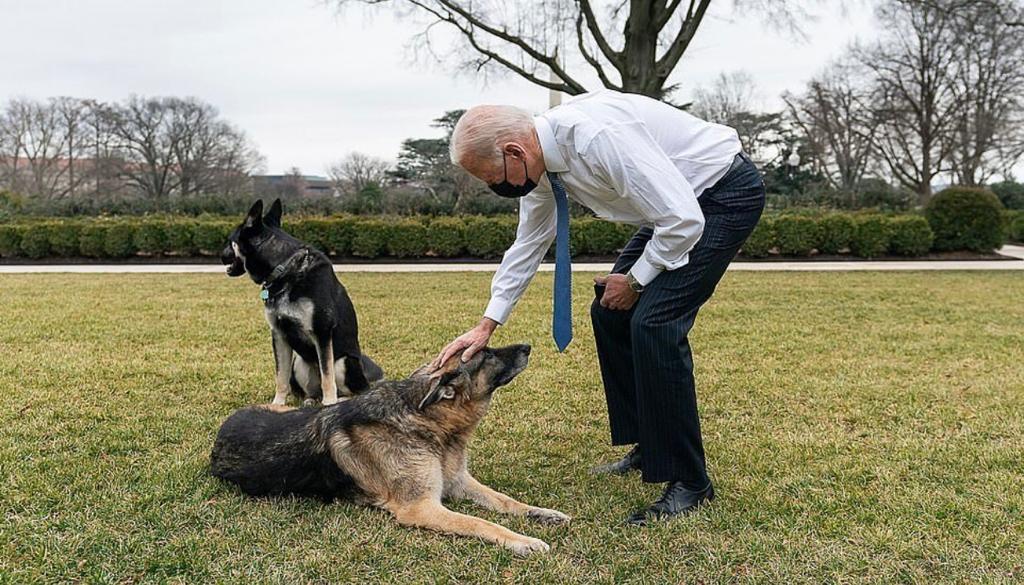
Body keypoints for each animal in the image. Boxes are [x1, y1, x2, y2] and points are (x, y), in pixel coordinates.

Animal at [211, 346, 573, 557]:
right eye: (487, 354)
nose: (527, 347)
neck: (425, 419)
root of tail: (221, 433)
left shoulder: (458, 482)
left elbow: (506, 501)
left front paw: (542, 513)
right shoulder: (421, 508)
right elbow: (480, 523)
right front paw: (523, 541)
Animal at [222, 198, 382, 405]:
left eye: (229, 240)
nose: (220, 255)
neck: (284, 268)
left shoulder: (322, 332)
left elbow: (327, 375)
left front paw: (329, 404)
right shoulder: (279, 334)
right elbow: (281, 377)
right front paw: (277, 404)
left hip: (344, 362)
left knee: (352, 390)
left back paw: (336, 400)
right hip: (299, 362)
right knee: (312, 389)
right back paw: (312, 400)